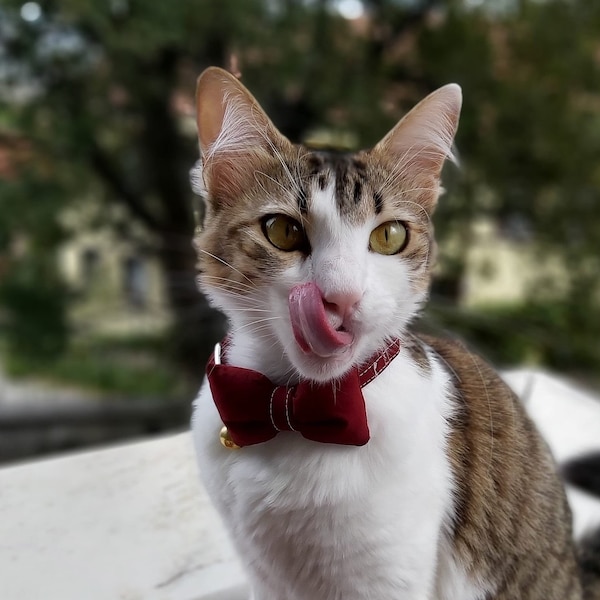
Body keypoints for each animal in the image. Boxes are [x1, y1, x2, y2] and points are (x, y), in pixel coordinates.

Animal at [191, 68, 600, 596]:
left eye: (389, 236)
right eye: (281, 230)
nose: (340, 298)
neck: (295, 411)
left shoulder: (389, 574)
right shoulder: (264, 574)